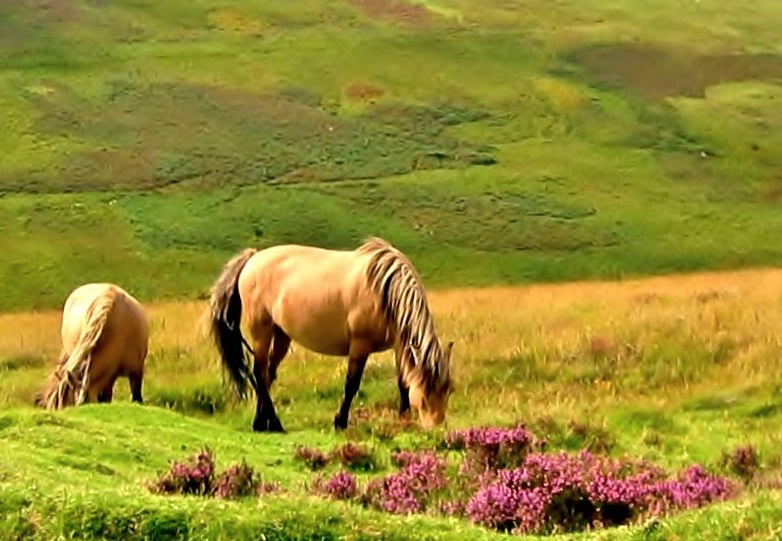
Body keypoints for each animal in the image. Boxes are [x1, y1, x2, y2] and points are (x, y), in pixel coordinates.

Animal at [208, 236, 456, 430]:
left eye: (448, 390)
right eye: (426, 394)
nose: (437, 429)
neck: (384, 290)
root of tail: (252, 257)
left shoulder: (399, 345)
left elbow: (403, 383)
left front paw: (403, 419)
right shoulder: (360, 344)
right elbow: (352, 384)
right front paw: (340, 421)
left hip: (281, 334)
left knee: (267, 374)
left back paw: (262, 422)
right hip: (262, 330)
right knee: (259, 373)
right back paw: (274, 423)